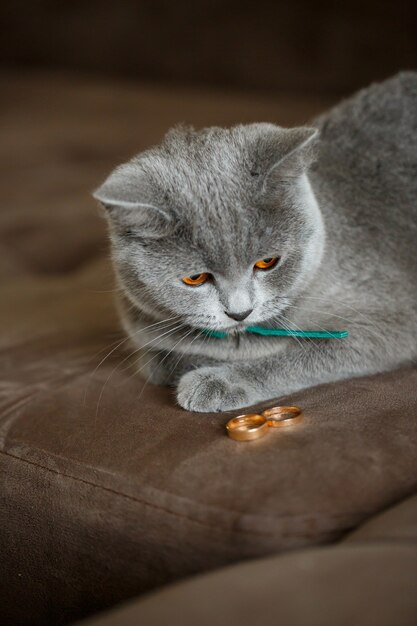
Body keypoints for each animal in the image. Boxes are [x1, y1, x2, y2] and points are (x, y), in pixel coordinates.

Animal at [93, 73, 416, 412]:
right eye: (195, 278)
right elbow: (157, 359)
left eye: (267, 262)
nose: (239, 312)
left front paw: (216, 381)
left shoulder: (390, 320)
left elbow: (305, 354)